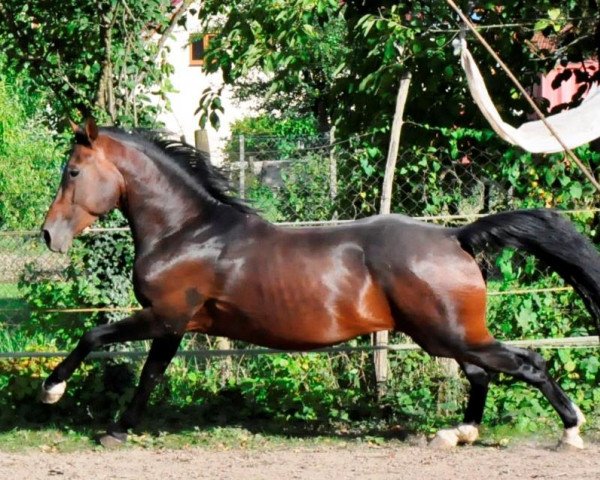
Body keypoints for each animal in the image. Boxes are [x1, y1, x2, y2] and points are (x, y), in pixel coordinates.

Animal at [39, 119, 596, 450]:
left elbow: (93, 335)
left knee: (526, 362)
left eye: (73, 171)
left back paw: (570, 431)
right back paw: (458, 432)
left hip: (448, 333)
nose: (48, 234)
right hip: (446, 335)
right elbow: (150, 376)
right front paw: (118, 429)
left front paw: (53, 389)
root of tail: (455, 236)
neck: (188, 231)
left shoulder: (164, 315)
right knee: (483, 373)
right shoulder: (175, 325)